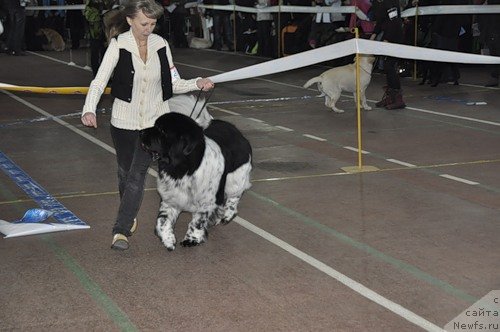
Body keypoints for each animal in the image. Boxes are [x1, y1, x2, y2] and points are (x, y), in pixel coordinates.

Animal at [141, 96, 252, 252]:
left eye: (162, 130)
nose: (141, 132)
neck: (183, 169)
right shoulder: (170, 198)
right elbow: (162, 220)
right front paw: (168, 239)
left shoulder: (206, 201)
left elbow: (197, 222)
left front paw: (191, 239)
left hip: (236, 178)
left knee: (234, 197)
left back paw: (227, 215)